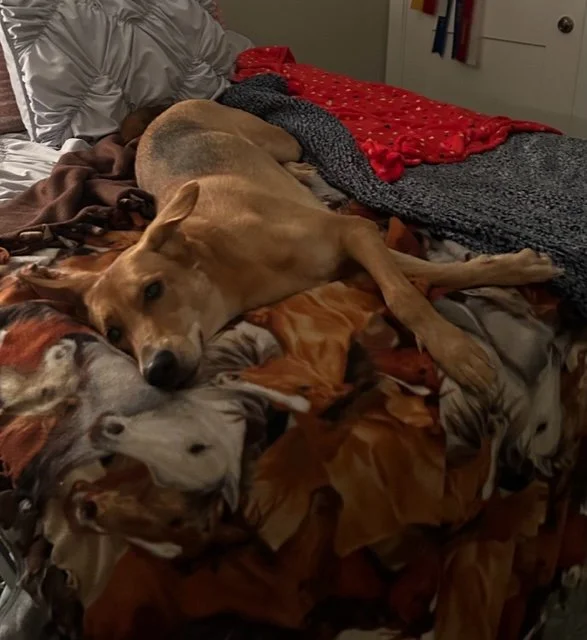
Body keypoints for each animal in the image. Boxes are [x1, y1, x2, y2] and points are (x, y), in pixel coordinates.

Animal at [20, 100, 562, 392]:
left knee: (291, 152)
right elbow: (426, 276)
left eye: (153, 290)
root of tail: (172, 106)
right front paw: (518, 269)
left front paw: (456, 349)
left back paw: (302, 171)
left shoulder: (354, 233)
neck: (230, 267)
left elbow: (407, 293)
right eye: (113, 334)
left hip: (278, 139)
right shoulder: (358, 256)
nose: (158, 372)